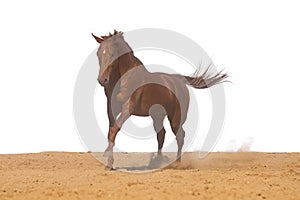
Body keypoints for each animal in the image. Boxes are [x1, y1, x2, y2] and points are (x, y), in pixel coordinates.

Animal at [91, 30, 227, 170]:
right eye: (98, 54)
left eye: (112, 54)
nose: (102, 80)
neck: (125, 79)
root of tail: (179, 80)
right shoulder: (111, 108)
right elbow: (111, 131)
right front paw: (109, 162)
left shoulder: (128, 108)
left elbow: (114, 129)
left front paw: (107, 157)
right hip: (158, 115)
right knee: (161, 134)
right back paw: (158, 161)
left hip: (176, 117)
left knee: (180, 135)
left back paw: (177, 163)